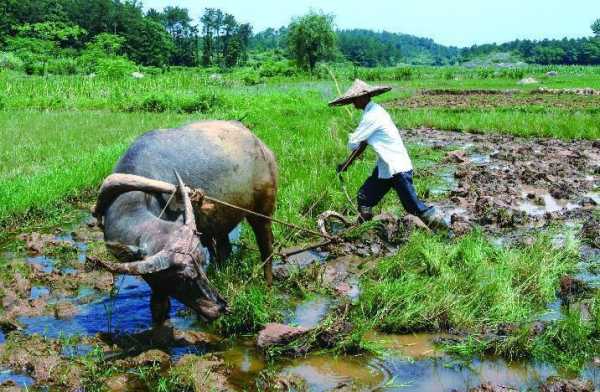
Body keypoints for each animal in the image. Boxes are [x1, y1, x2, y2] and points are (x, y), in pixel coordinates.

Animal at [93, 121, 278, 324]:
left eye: (201, 265)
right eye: (181, 278)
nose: (220, 307)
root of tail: (259, 144)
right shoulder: (154, 278)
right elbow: (158, 305)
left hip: (262, 212)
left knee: (266, 246)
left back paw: (268, 283)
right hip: (219, 224)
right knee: (224, 250)